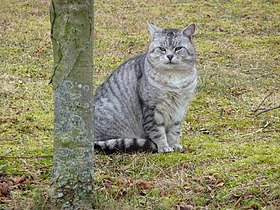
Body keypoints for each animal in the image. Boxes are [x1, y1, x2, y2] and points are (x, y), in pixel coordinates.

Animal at [93, 23, 197, 154]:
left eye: (178, 48)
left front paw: (174, 145)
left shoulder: (179, 109)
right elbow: (157, 132)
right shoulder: (152, 109)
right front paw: (164, 147)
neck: (174, 78)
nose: (169, 56)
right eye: (162, 48)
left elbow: (174, 131)